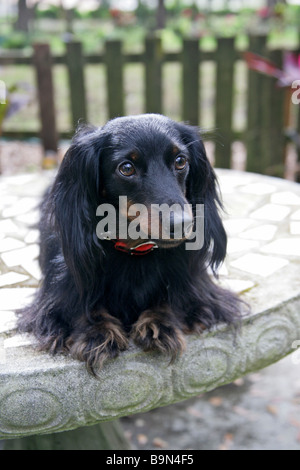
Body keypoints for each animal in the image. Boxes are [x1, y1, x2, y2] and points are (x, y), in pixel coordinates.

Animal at [18, 114, 244, 374]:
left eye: (180, 161)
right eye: (126, 168)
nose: (183, 224)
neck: (135, 249)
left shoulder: (194, 282)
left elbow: (174, 296)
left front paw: (160, 323)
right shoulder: (59, 291)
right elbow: (79, 305)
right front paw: (96, 332)